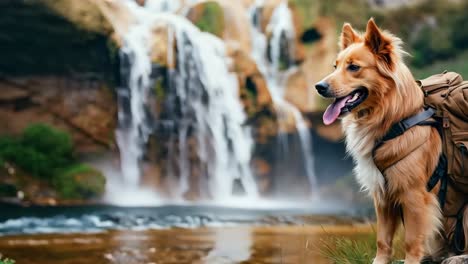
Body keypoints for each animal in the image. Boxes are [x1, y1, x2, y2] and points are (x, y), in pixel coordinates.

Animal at [314, 18, 446, 262]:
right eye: (335, 66)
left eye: (353, 67)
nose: (319, 87)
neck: (393, 121)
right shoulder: (382, 195)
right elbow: (383, 240)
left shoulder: (415, 196)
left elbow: (412, 240)